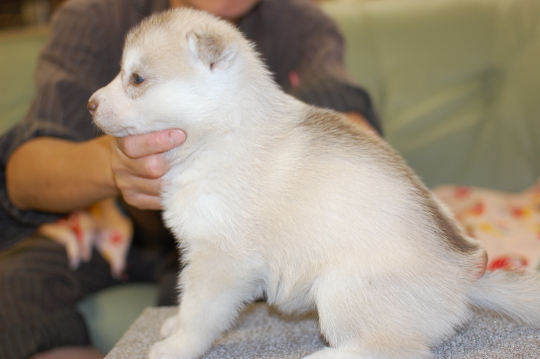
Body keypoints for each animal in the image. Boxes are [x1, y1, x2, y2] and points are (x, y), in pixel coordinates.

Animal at [89, 8, 540, 359]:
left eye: (137, 79)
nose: (91, 103)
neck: (224, 131)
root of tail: (464, 277)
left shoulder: (220, 260)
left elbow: (201, 312)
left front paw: (176, 345)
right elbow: (187, 303)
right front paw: (173, 326)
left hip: (342, 290)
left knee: (398, 347)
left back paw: (328, 354)